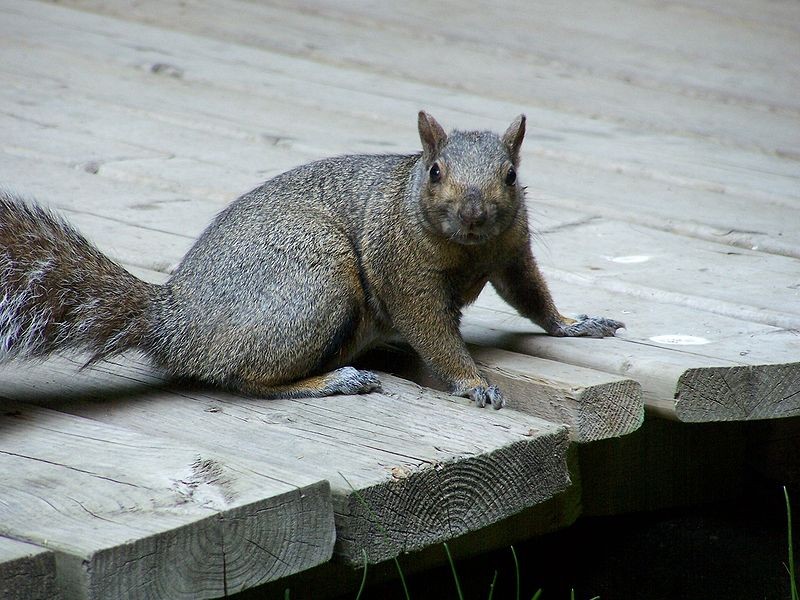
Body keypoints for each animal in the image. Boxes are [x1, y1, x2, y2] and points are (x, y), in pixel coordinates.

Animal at [0, 111, 624, 408]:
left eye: (511, 176)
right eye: (435, 172)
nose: (473, 212)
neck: (468, 248)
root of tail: (175, 321)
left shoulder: (512, 249)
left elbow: (532, 296)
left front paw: (576, 324)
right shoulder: (405, 272)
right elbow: (435, 333)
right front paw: (474, 383)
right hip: (317, 286)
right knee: (245, 379)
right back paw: (333, 381)